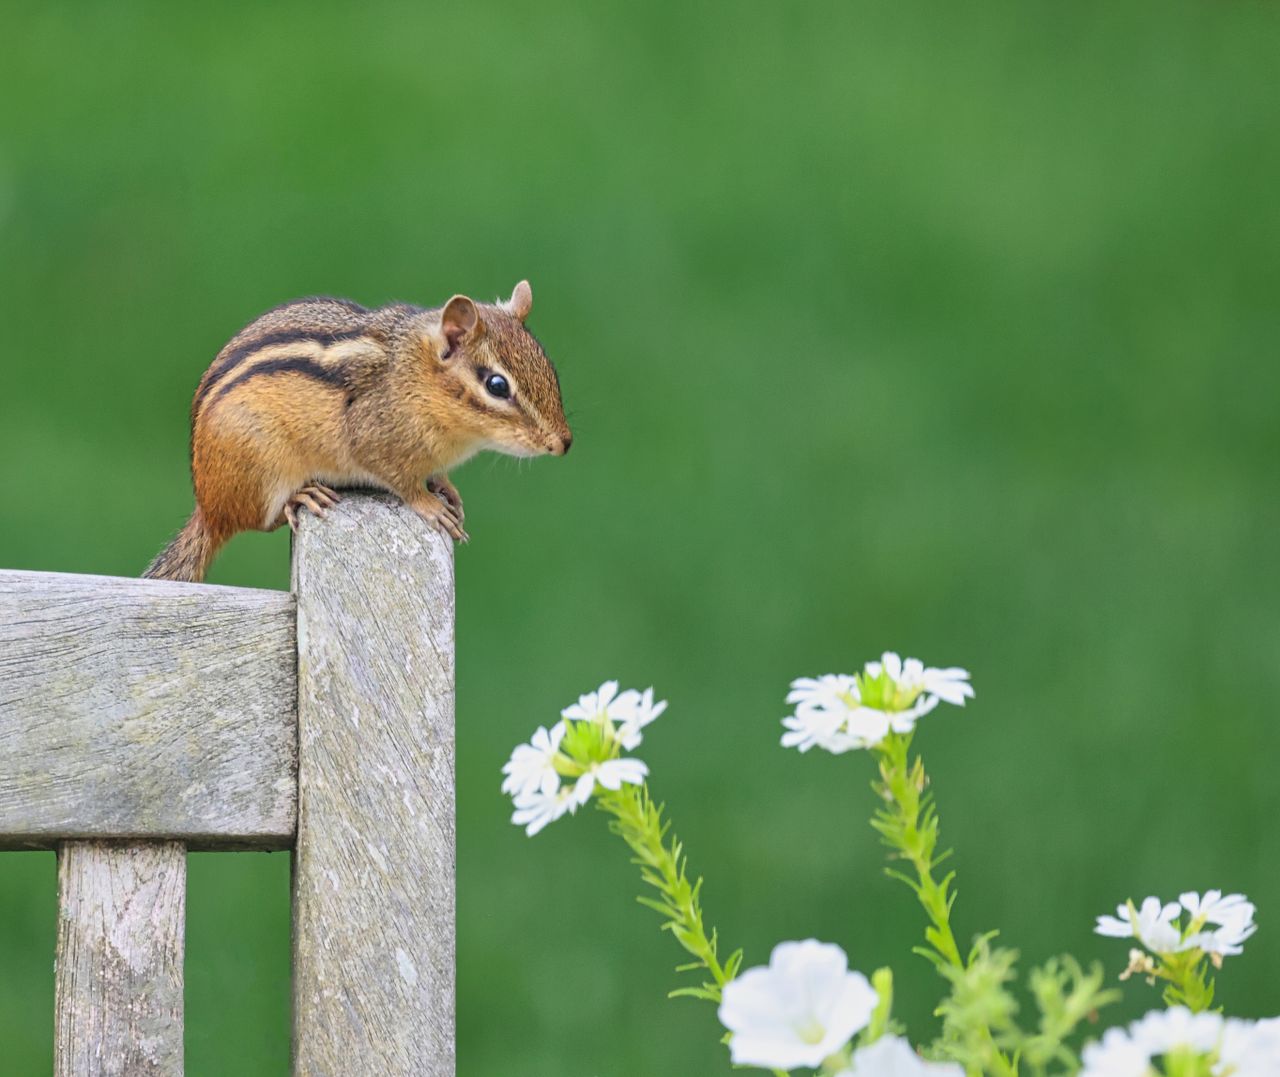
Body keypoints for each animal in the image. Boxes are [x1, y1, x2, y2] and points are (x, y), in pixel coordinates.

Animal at [143, 280, 571, 583]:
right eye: (497, 386)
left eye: (550, 367)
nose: (563, 443)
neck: (412, 377)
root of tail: (208, 508)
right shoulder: (375, 440)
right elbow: (402, 482)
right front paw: (431, 506)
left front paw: (447, 488)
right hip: (262, 471)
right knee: (261, 519)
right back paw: (302, 496)